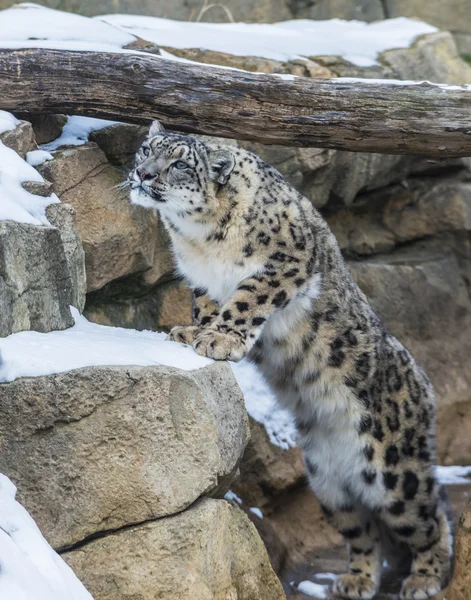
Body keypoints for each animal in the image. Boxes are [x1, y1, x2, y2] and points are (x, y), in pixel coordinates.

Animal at [129, 122, 454, 600]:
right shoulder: (200, 279)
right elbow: (206, 303)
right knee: (362, 529)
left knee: (429, 516)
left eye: (180, 164)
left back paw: (425, 577)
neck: (198, 240)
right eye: (146, 150)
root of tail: (425, 388)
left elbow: (247, 300)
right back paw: (355, 580)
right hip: (328, 480)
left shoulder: (285, 262)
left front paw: (220, 339)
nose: (143, 174)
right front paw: (195, 331)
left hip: (394, 471)